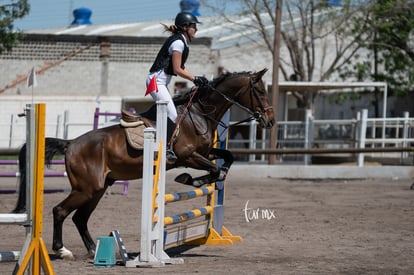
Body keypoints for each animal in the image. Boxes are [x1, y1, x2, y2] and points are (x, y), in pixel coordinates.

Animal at [16, 69, 274, 260]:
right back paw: (62, 250)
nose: (270, 120)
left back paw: (93, 250)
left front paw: (210, 178)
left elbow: (226, 158)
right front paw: (190, 179)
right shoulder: (188, 156)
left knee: (80, 218)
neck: (201, 113)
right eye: (260, 91)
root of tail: (71, 143)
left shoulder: (205, 151)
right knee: (60, 211)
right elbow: (214, 169)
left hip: (97, 189)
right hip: (86, 188)